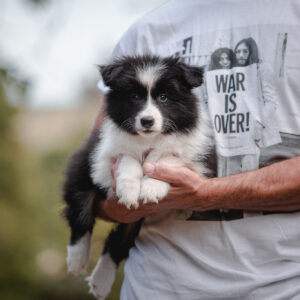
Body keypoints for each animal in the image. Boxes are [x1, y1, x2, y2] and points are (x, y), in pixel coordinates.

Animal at [62, 55, 213, 298]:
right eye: (134, 97)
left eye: (164, 97)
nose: (147, 121)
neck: (149, 140)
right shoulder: (104, 156)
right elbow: (128, 158)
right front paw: (129, 190)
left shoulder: (193, 158)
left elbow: (169, 158)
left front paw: (151, 187)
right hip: (83, 167)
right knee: (81, 211)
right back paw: (77, 261)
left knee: (119, 241)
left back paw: (101, 281)